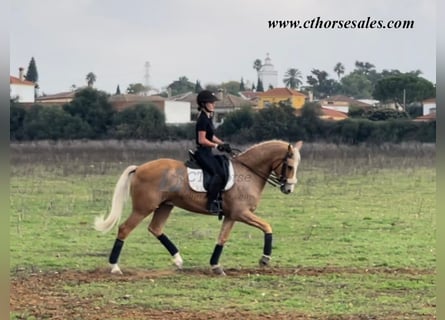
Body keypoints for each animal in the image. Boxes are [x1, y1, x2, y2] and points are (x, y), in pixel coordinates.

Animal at [93, 139, 302, 276]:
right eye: (290, 166)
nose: (289, 189)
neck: (249, 171)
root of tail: (139, 168)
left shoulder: (232, 216)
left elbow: (222, 238)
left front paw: (216, 266)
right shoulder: (241, 213)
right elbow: (267, 227)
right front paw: (265, 259)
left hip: (165, 206)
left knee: (156, 229)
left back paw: (178, 260)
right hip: (143, 208)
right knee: (124, 229)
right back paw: (115, 267)